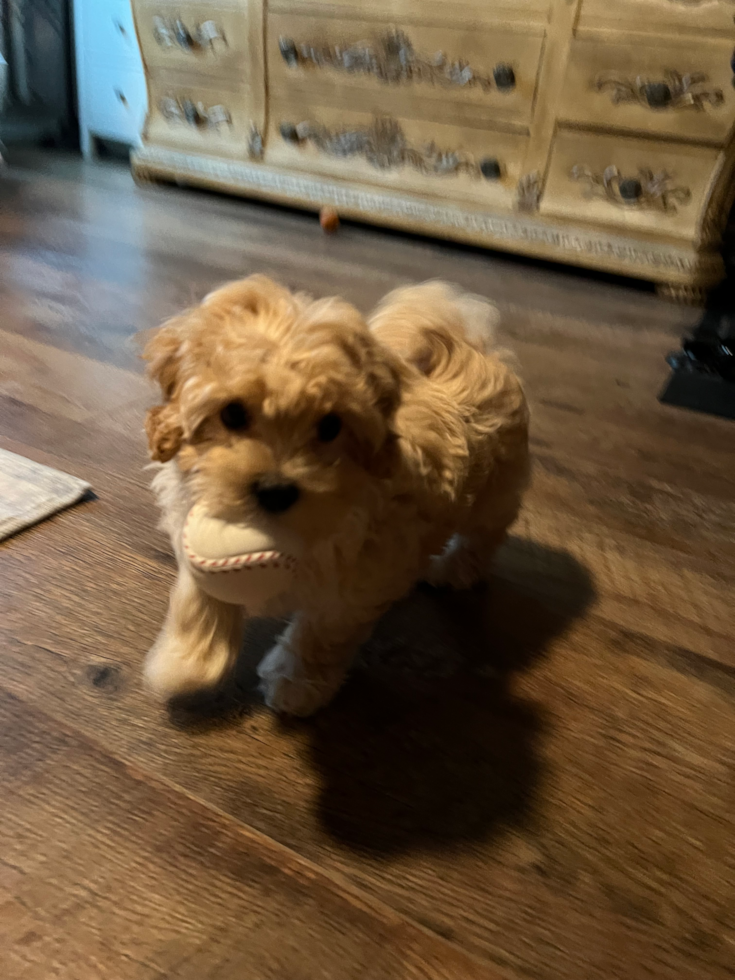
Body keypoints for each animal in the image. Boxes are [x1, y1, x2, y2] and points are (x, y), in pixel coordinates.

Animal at [144, 276, 528, 712]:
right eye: (232, 414)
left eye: (330, 427)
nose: (275, 491)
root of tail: (472, 348)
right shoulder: (191, 528)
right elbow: (200, 595)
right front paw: (185, 663)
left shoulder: (355, 588)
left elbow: (321, 634)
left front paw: (296, 683)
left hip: (497, 491)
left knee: (485, 533)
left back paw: (456, 569)